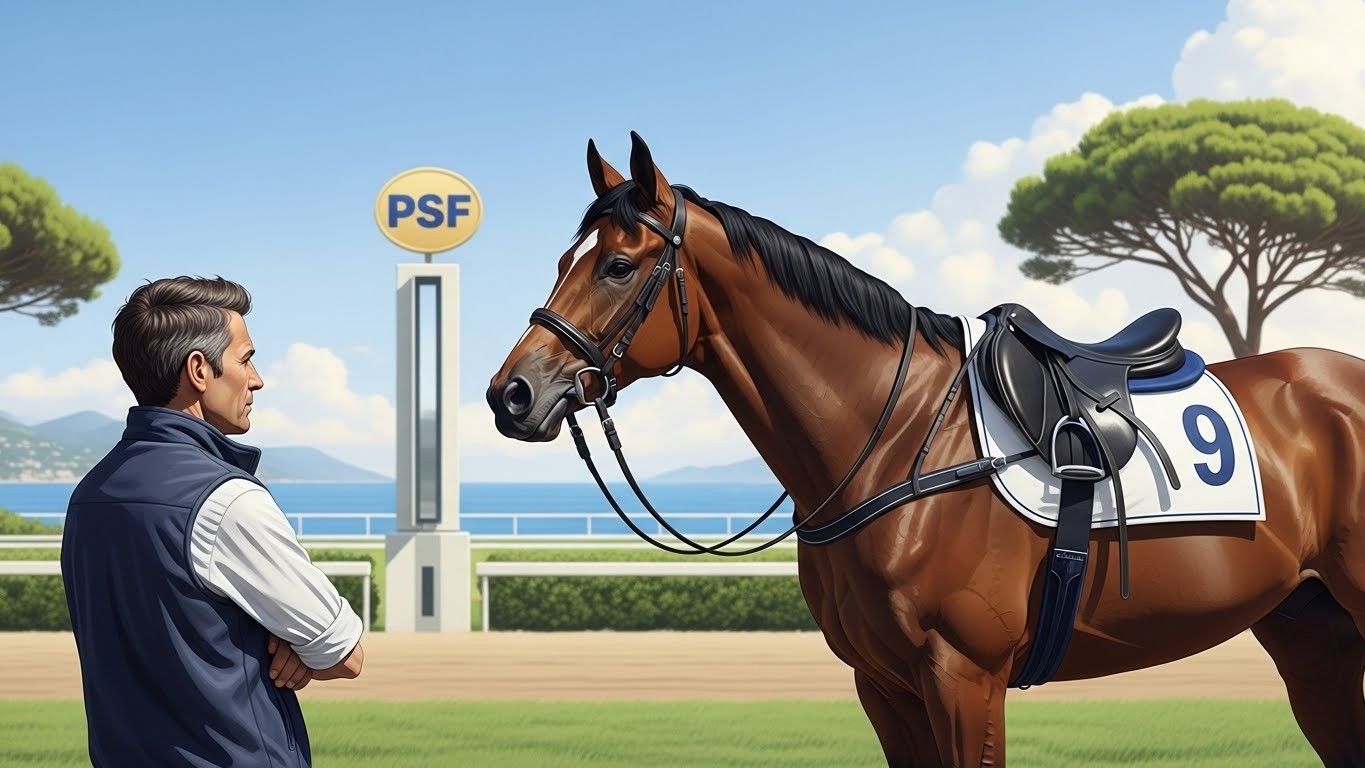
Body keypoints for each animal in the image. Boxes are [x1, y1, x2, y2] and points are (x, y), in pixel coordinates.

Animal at [486, 132, 1365, 766]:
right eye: (565, 260)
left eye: (617, 264)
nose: (512, 393)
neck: (900, 436)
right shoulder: (884, 686)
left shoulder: (962, 677)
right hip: (1309, 627)